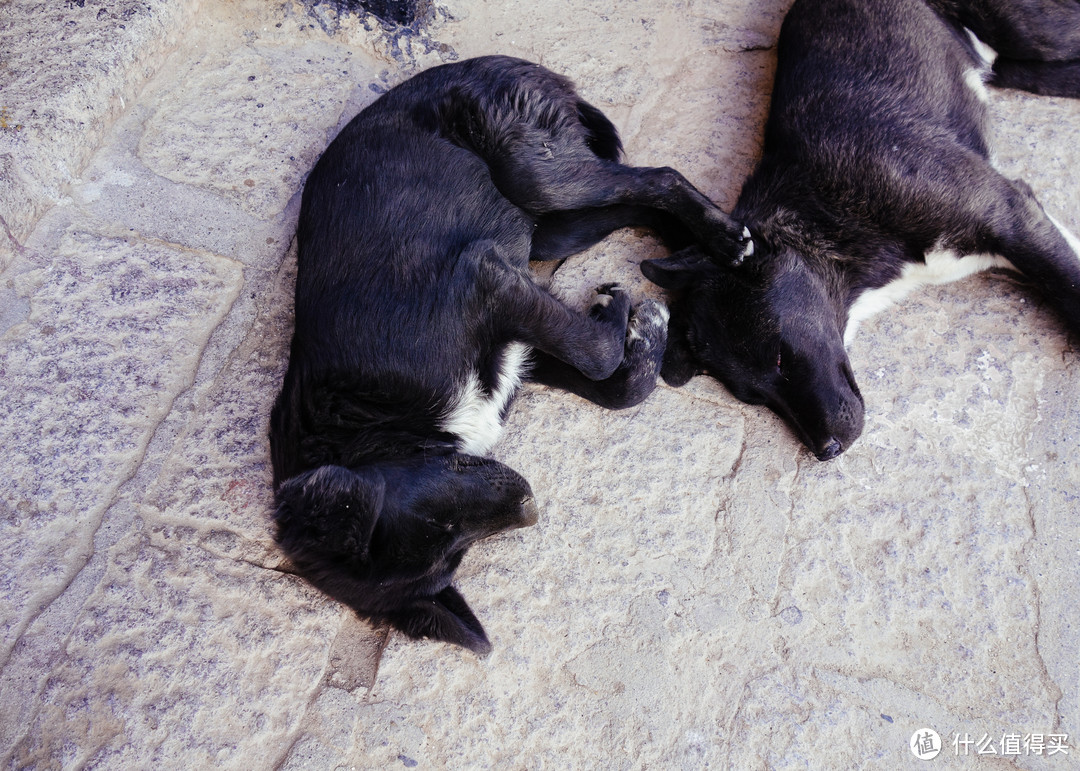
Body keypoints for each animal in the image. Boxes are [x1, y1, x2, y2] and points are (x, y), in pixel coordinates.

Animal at [267, 56, 751, 652]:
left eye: (443, 523)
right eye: (455, 548)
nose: (531, 509)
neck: (375, 422)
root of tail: (495, 62)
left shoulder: (485, 277)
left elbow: (594, 352)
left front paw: (622, 317)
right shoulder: (514, 347)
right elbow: (614, 383)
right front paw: (640, 334)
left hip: (538, 175)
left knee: (659, 177)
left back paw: (724, 240)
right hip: (552, 230)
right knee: (638, 202)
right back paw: (684, 258)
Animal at [639, 0, 1080, 455]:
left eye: (779, 358)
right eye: (754, 397)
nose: (826, 451)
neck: (824, 216)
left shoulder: (1013, 215)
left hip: (1036, 30)